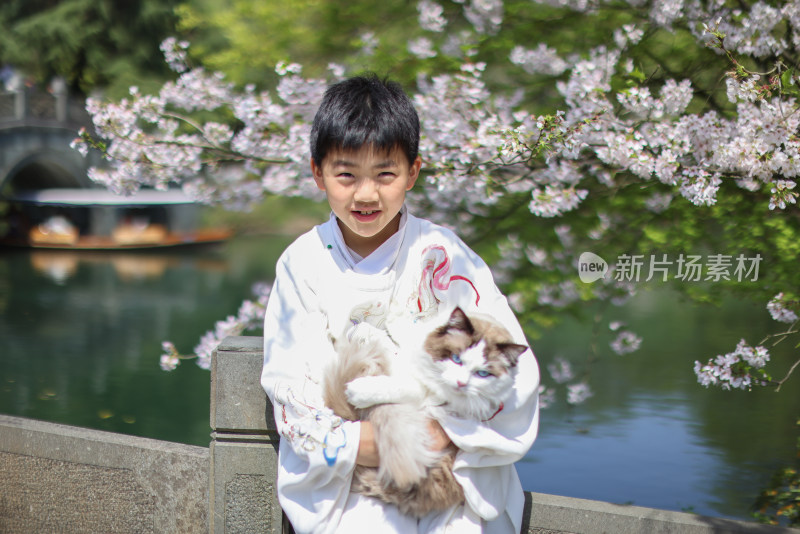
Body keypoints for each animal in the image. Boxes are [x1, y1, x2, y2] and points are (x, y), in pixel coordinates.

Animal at [322, 308, 528, 520]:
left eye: (483, 374)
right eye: (456, 359)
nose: (461, 383)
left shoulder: (424, 394)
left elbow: (394, 386)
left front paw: (357, 390)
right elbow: (398, 332)